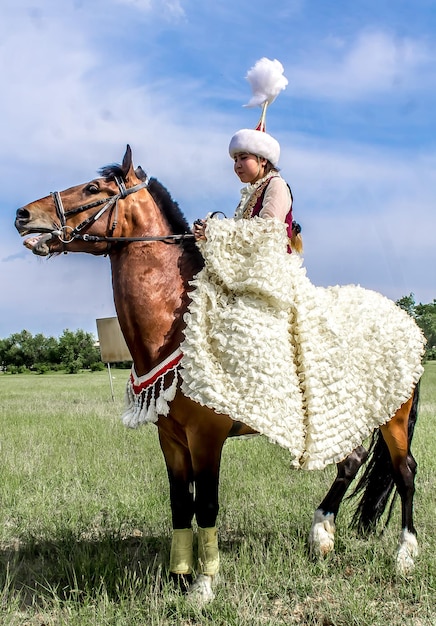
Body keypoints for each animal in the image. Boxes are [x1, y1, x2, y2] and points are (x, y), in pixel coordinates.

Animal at [16, 145, 422, 600]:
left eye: (92, 188)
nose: (22, 214)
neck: (178, 321)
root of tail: (407, 321)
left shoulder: (206, 436)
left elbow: (206, 503)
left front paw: (204, 585)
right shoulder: (171, 438)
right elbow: (180, 503)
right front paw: (178, 575)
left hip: (394, 417)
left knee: (405, 472)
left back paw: (404, 556)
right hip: (345, 415)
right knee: (351, 461)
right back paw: (321, 535)